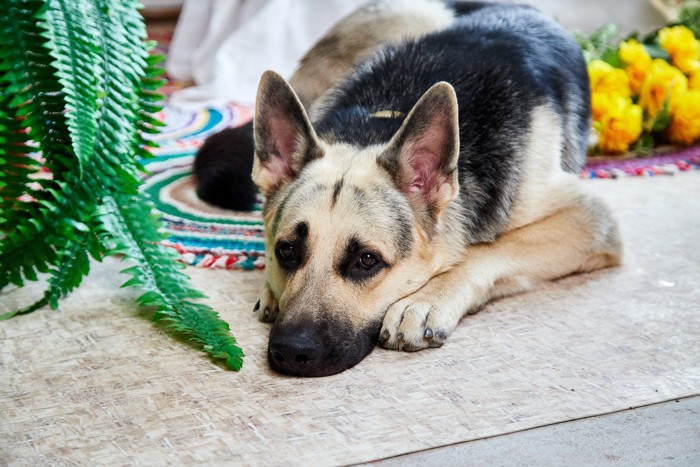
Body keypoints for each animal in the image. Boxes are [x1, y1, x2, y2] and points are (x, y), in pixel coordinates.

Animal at [194, 0, 620, 378]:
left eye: (367, 261)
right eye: (286, 251)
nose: (289, 352)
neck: (384, 120)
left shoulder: (591, 219)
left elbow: (485, 252)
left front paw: (426, 299)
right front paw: (271, 287)